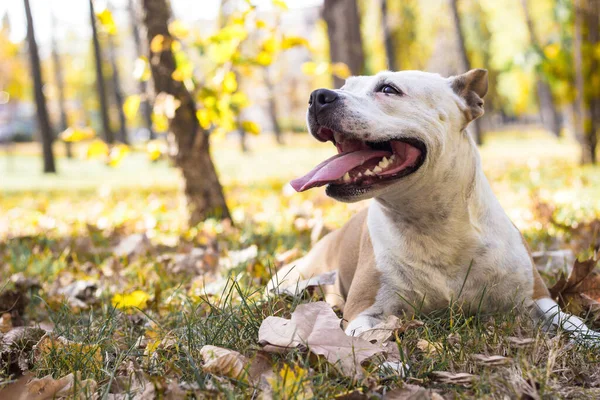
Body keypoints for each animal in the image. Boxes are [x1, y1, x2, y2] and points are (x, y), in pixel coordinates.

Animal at [270, 69, 600, 344]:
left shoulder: (538, 298)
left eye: (388, 89)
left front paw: (590, 338)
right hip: (293, 278)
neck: (434, 226)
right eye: (345, 86)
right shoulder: (363, 312)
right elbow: (368, 344)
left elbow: (571, 321)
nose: (317, 96)